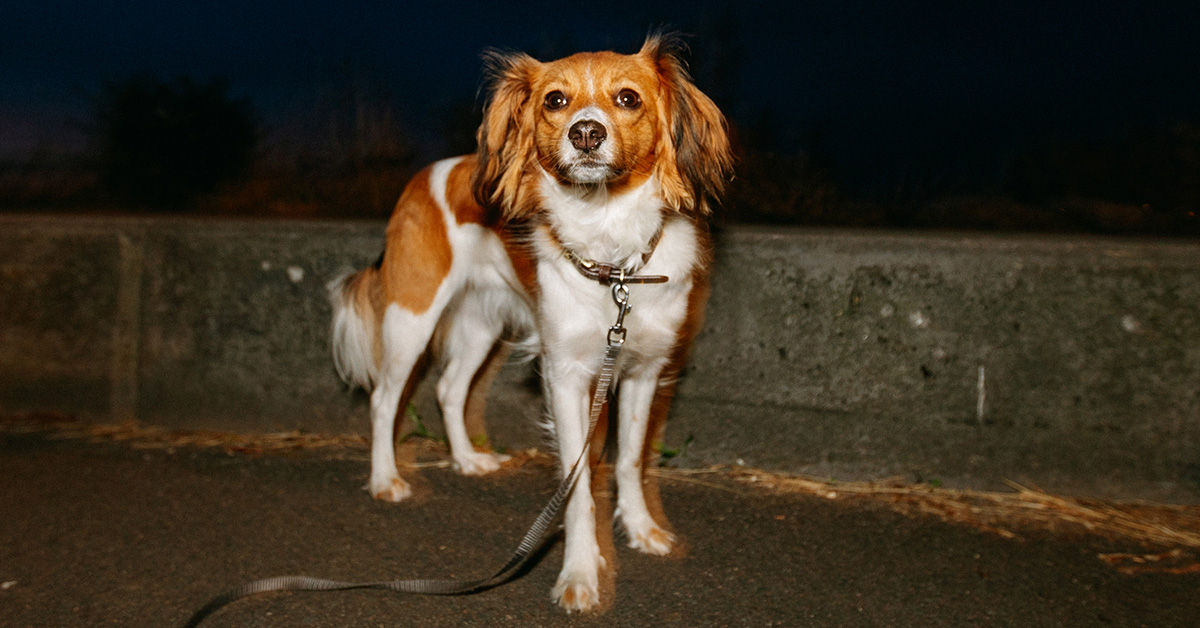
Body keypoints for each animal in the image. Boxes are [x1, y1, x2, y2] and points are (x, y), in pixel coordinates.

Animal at [327, 34, 733, 611]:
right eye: (555, 101)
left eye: (628, 99)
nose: (585, 133)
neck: (612, 256)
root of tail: (430, 175)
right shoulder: (566, 377)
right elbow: (578, 486)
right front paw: (581, 574)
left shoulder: (642, 371)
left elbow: (630, 462)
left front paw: (640, 529)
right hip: (413, 317)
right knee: (385, 399)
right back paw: (386, 479)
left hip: (481, 325)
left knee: (450, 388)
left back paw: (468, 460)